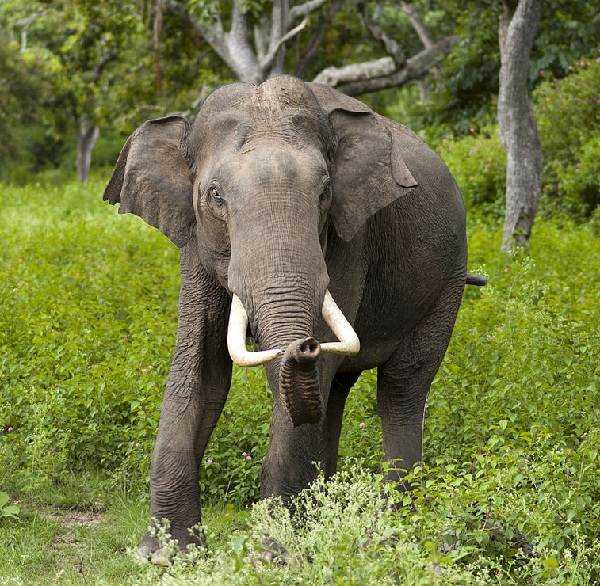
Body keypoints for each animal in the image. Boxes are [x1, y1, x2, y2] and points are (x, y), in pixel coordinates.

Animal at [104, 74, 488, 560]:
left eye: (324, 193)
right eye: (215, 196)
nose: (302, 344)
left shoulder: (350, 237)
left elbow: (305, 378)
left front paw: (273, 554)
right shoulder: (194, 241)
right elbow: (201, 372)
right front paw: (164, 555)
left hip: (447, 282)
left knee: (401, 387)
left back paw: (391, 526)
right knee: (336, 392)